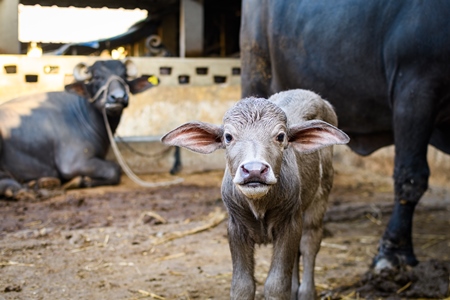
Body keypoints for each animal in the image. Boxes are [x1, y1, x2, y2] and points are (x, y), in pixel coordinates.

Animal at [0, 59, 158, 200]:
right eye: (97, 77)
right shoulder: (74, 163)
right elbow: (114, 169)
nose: (118, 97)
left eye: (124, 76)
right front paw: (81, 180)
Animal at [163, 89, 352, 300]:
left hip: (321, 194)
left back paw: (306, 293)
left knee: (310, 241)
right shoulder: (236, 226)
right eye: (228, 136)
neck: (259, 205)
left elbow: (276, 285)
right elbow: (242, 286)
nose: (254, 170)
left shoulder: (289, 223)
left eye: (280, 136)